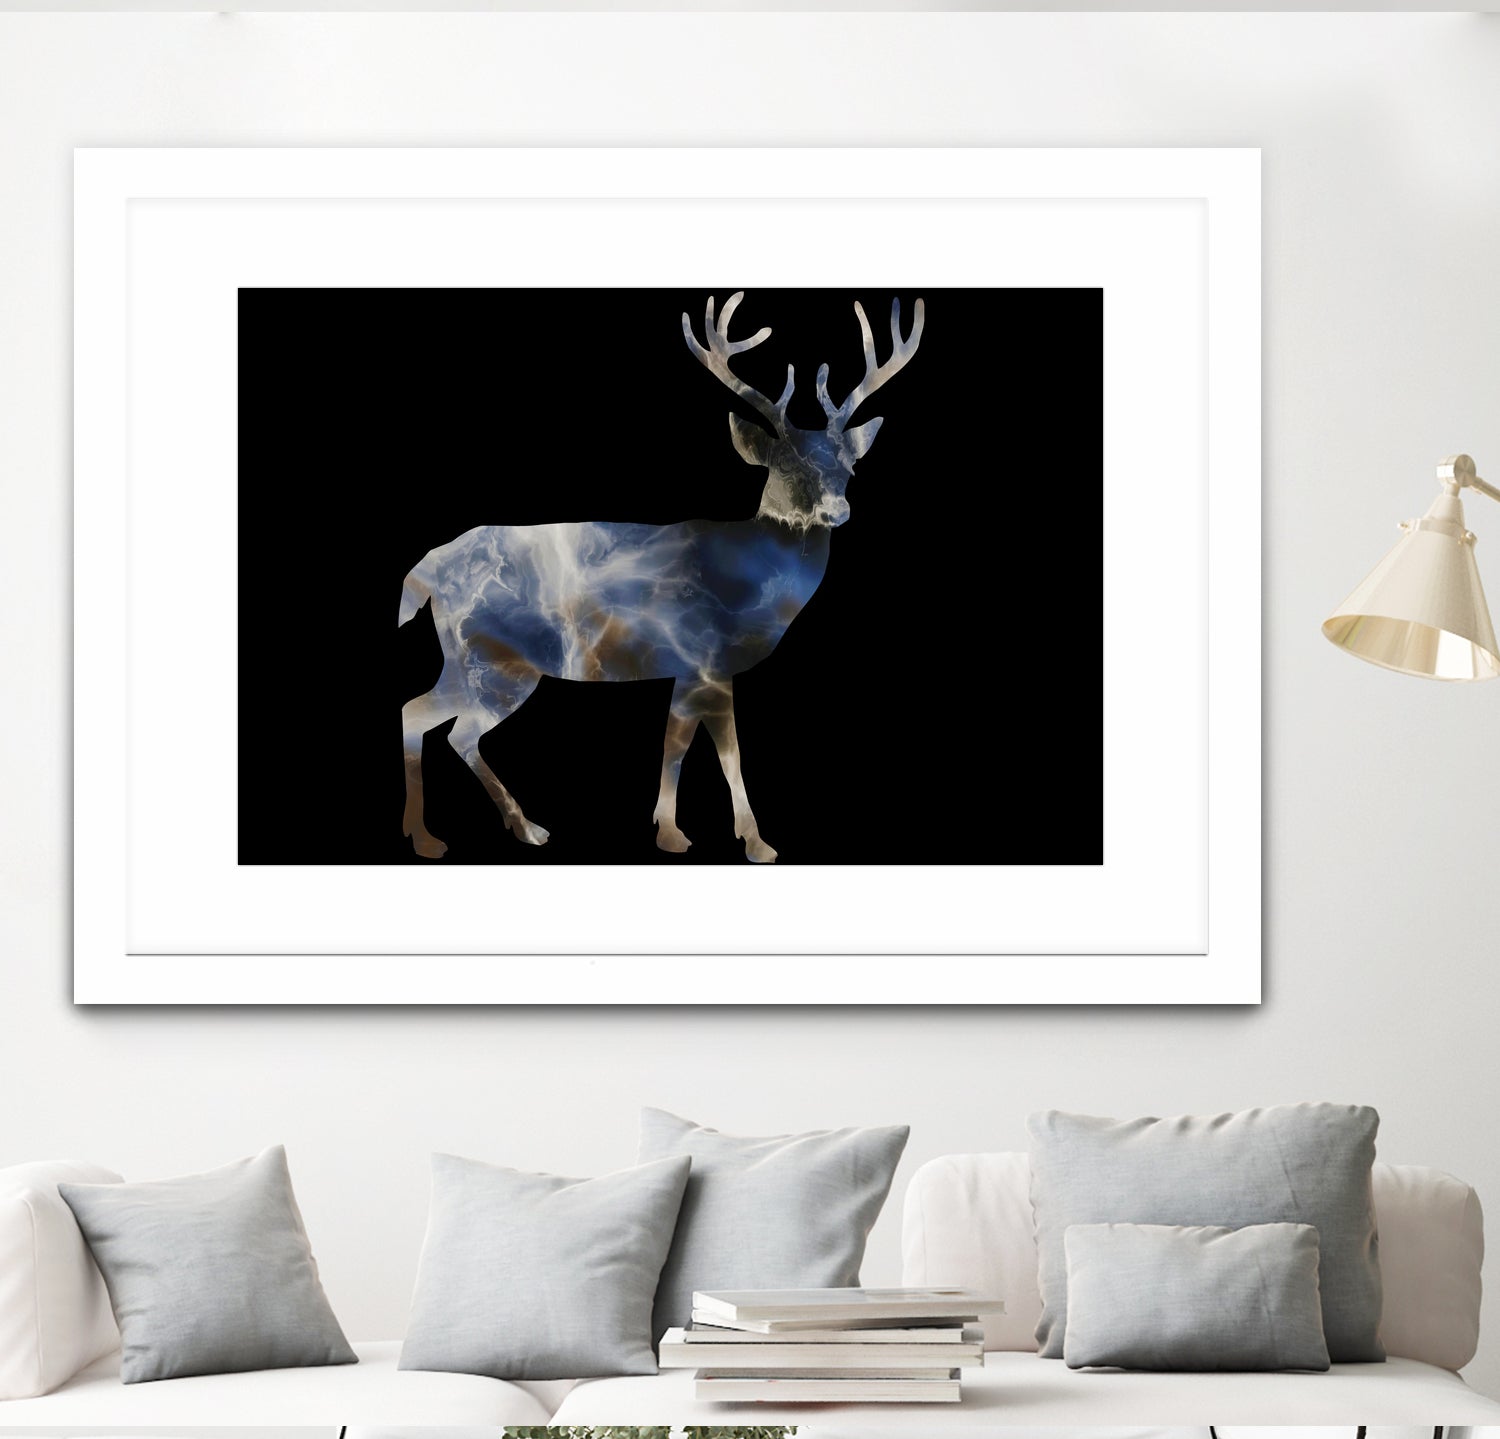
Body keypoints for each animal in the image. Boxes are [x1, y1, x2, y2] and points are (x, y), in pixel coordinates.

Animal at [398, 291, 924, 863]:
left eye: (849, 467)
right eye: (786, 466)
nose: (838, 510)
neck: (751, 581)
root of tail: (428, 570)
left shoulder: (690, 669)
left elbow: (678, 745)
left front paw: (674, 829)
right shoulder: (706, 659)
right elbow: (718, 753)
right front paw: (744, 840)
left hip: (468, 659)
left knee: (427, 717)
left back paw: (483, 828)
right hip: (494, 660)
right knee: (446, 726)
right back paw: (463, 833)